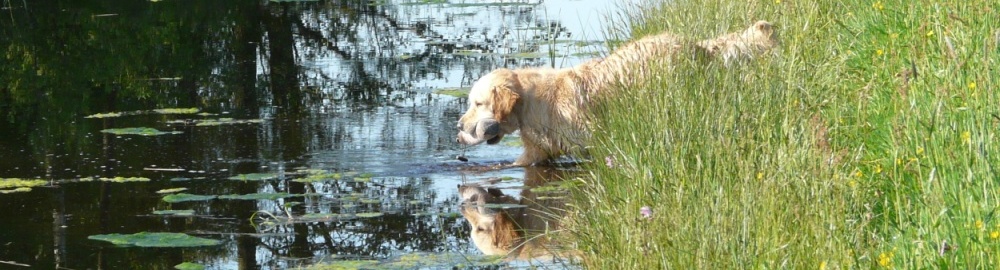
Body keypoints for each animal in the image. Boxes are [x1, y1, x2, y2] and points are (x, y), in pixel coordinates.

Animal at [458, 20, 776, 165]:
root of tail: (696, 45)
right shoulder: (536, 152)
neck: (532, 104)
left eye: (477, 103)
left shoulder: (593, 138)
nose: (458, 126)